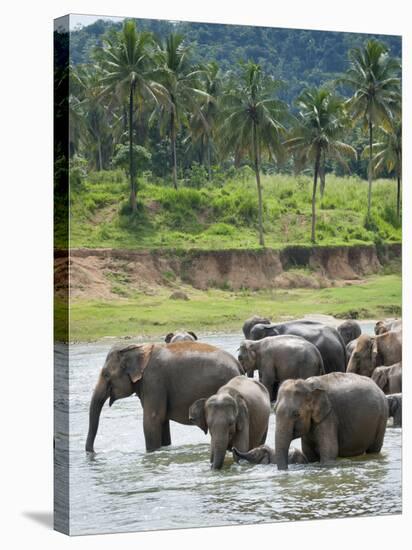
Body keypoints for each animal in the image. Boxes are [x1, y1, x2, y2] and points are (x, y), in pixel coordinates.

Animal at [85, 342, 243, 454]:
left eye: (106, 375)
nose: (92, 452)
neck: (135, 348)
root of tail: (238, 365)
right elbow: (163, 421)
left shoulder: (153, 381)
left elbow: (152, 420)